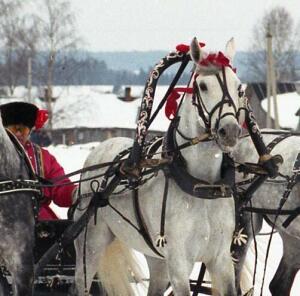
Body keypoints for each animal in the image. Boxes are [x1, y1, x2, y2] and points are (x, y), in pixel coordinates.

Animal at [72, 37, 244, 296]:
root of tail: (100, 149)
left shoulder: (221, 259)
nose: (230, 131)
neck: (202, 185)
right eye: (203, 86)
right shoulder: (178, 262)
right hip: (91, 245)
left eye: (238, 87)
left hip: (156, 258)